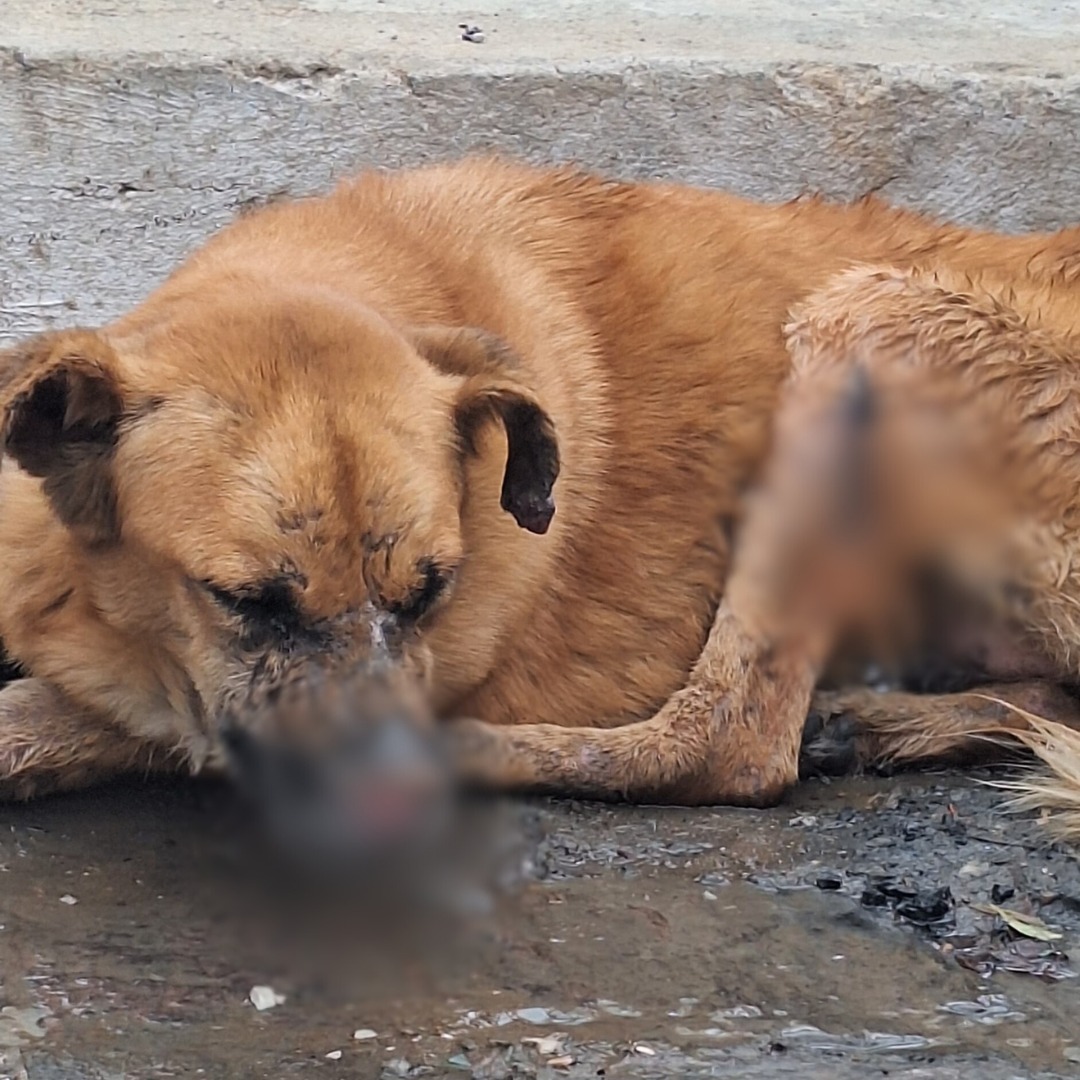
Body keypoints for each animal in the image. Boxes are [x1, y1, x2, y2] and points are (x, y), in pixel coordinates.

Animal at [2, 156, 1080, 838]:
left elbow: (82, 714)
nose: (389, 803)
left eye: (430, 593)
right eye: (245, 600)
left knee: (730, 742)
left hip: (864, 321)